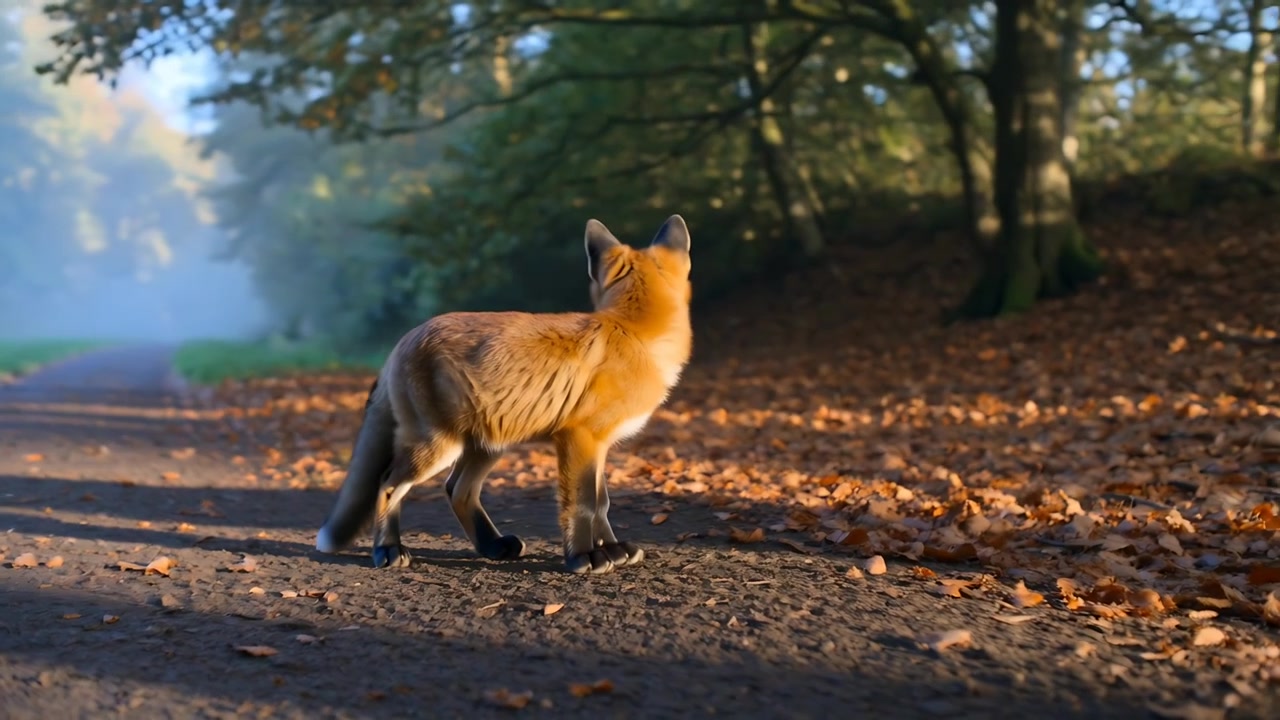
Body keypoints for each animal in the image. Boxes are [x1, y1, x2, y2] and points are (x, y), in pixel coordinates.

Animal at [314, 214, 693, 574]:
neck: (634, 332)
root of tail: (403, 341)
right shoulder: (578, 437)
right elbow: (584, 504)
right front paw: (585, 556)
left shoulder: (600, 444)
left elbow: (603, 503)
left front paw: (613, 549)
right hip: (436, 446)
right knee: (387, 485)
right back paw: (388, 549)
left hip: (489, 444)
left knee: (457, 489)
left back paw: (491, 546)